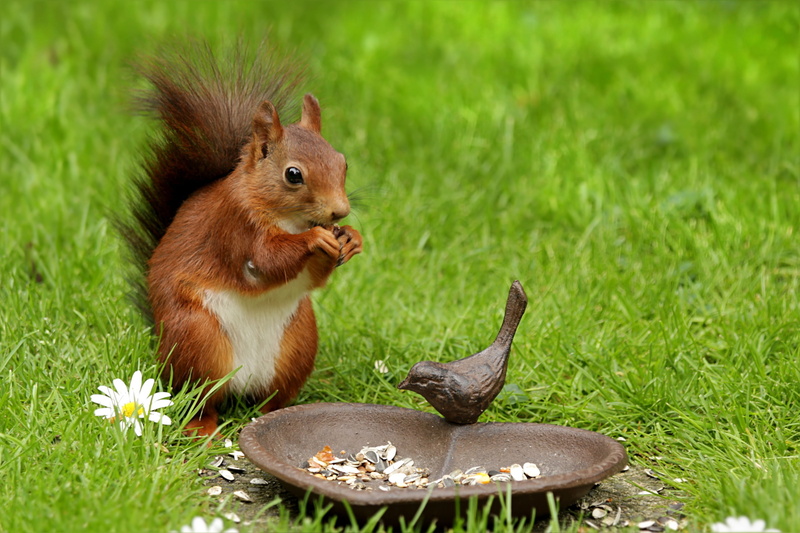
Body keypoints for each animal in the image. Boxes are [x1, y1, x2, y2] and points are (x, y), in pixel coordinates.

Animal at [121, 43, 362, 437]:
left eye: (343, 163)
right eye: (293, 174)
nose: (340, 212)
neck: (288, 219)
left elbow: (313, 278)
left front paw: (352, 239)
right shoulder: (234, 226)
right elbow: (265, 261)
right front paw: (316, 238)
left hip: (298, 344)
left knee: (270, 399)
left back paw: (276, 415)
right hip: (199, 340)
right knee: (200, 398)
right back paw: (203, 430)